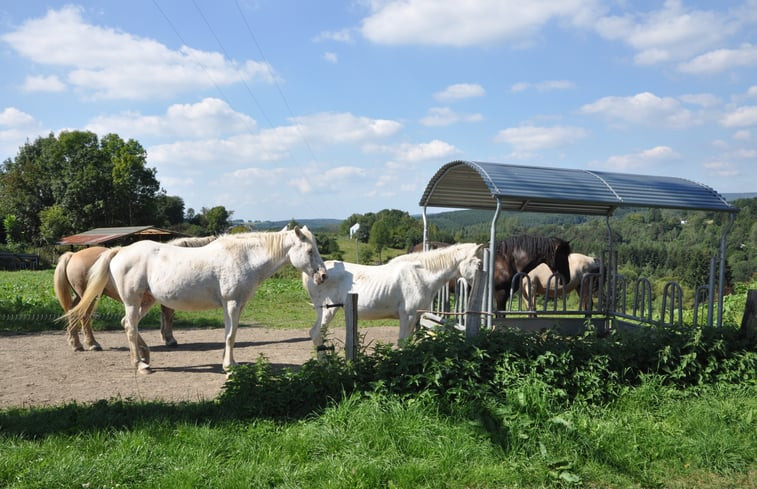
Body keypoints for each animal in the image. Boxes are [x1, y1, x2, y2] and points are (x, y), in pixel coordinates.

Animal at [54, 234, 214, 348]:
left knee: (72, 312)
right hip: (90, 297)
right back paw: (92, 344)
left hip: (80, 296)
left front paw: (166, 337)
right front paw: (170, 339)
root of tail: (73, 255)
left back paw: (76, 343)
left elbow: (164, 316)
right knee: (84, 316)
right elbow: (168, 316)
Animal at [300, 242, 482, 348]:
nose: (475, 286)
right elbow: (402, 343)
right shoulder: (407, 316)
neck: (420, 274)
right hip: (327, 310)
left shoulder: (414, 317)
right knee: (316, 334)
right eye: (479, 263)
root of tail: (317, 274)